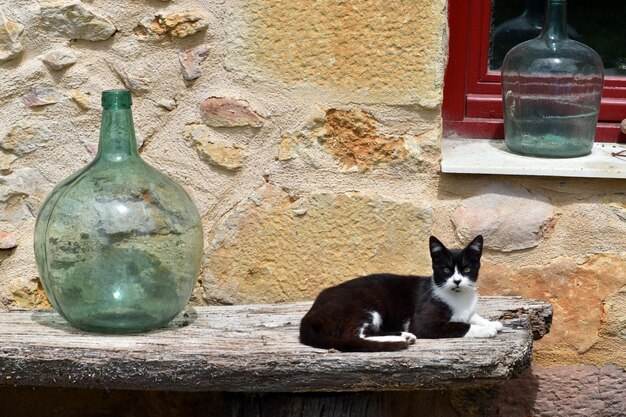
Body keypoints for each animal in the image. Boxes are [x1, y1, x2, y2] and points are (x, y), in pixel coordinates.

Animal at [298, 236, 502, 350]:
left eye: (467, 269)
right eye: (446, 270)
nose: (457, 281)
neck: (460, 297)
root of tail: (310, 313)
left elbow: (471, 317)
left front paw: (492, 323)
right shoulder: (423, 323)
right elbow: (461, 325)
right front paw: (487, 329)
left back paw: (405, 336)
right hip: (364, 304)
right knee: (354, 335)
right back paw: (400, 338)